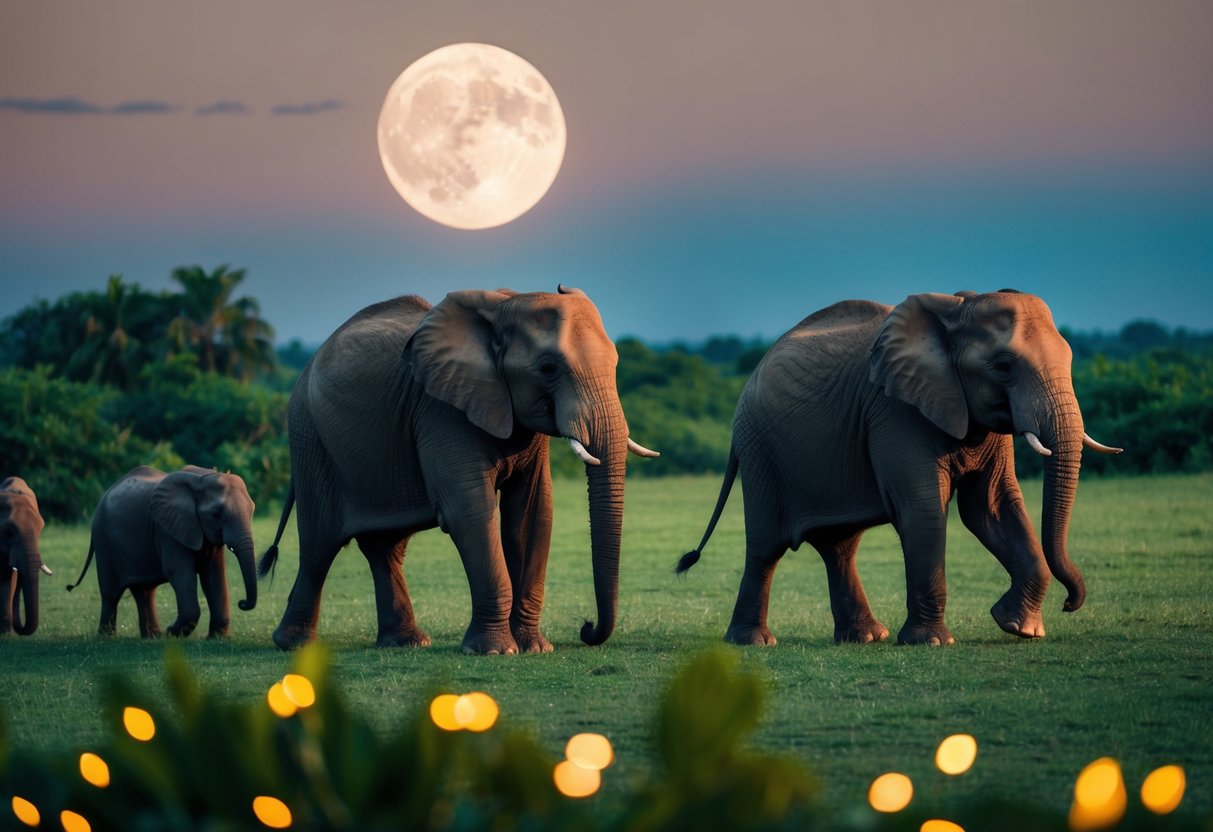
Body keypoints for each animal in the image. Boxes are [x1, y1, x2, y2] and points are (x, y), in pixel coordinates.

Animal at [66, 465, 258, 638]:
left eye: (252, 510)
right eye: (216, 513)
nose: (242, 602)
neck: (203, 479)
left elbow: (213, 574)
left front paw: (218, 638)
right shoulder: (167, 530)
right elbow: (179, 572)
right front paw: (171, 633)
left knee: (143, 592)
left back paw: (152, 637)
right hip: (104, 540)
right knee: (110, 593)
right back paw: (106, 637)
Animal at [258, 285, 657, 653]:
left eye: (616, 363)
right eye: (548, 368)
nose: (586, 627)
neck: (506, 304)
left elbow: (531, 514)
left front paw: (533, 648)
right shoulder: (441, 409)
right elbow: (469, 510)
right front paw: (495, 651)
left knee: (385, 547)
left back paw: (406, 642)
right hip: (310, 437)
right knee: (319, 543)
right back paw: (294, 644)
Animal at [679, 290, 1122, 646]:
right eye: (1003, 367)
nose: (1070, 603)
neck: (957, 309)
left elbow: (991, 508)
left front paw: (1019, 628)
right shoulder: (895, 411)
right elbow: (924, 510)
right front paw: (933, 643)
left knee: (838, 546)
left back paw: (865, 638)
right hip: (760, 449)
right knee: (766, 546)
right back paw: (753, 642)